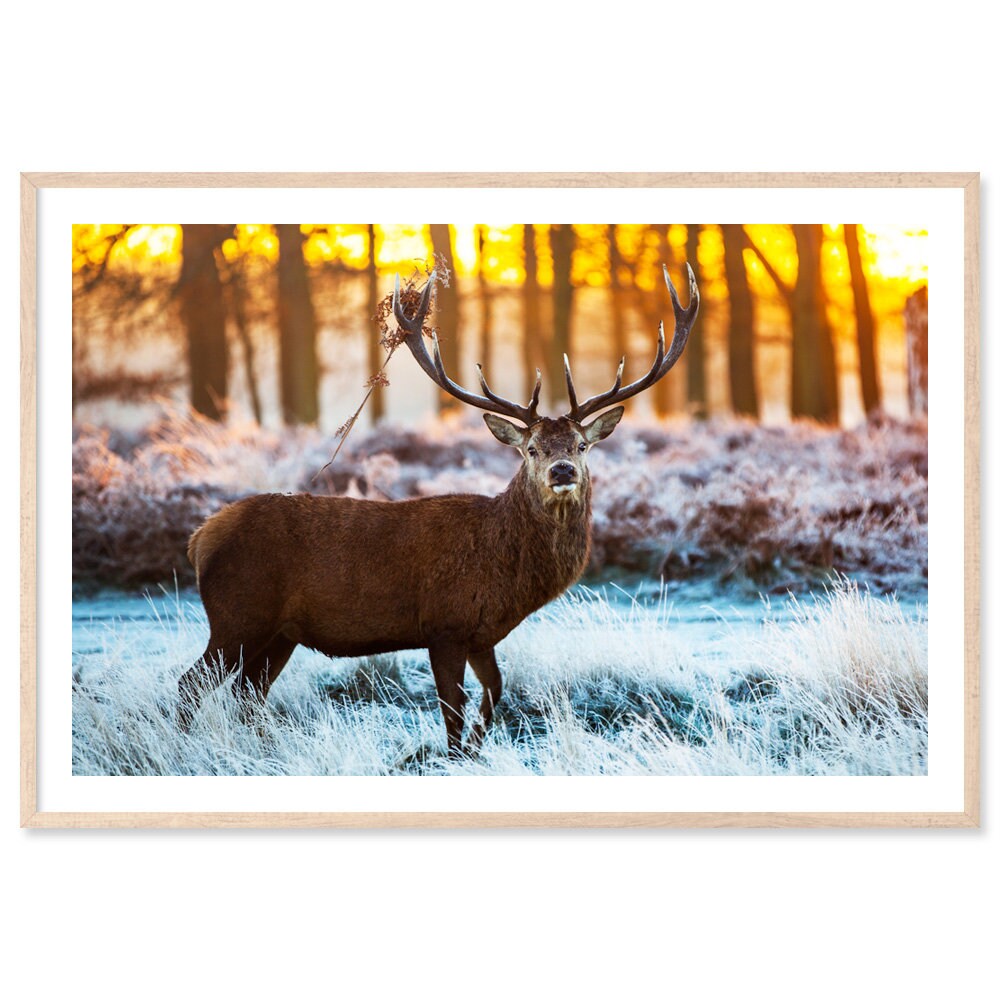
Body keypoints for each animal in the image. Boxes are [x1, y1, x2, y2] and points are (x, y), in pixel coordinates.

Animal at [178, 263, 699, 757]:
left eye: (581, 445)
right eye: (531, 448)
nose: (563, 471)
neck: (508, 575)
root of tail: (199, 538)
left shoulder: (482, 635)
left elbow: (494, 693)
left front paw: (475, 748)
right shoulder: (444, 625)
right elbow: (453, 709)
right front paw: (453, 754)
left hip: (280, 633)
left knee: (247, 695)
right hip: (237, 615)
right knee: (191, 686)